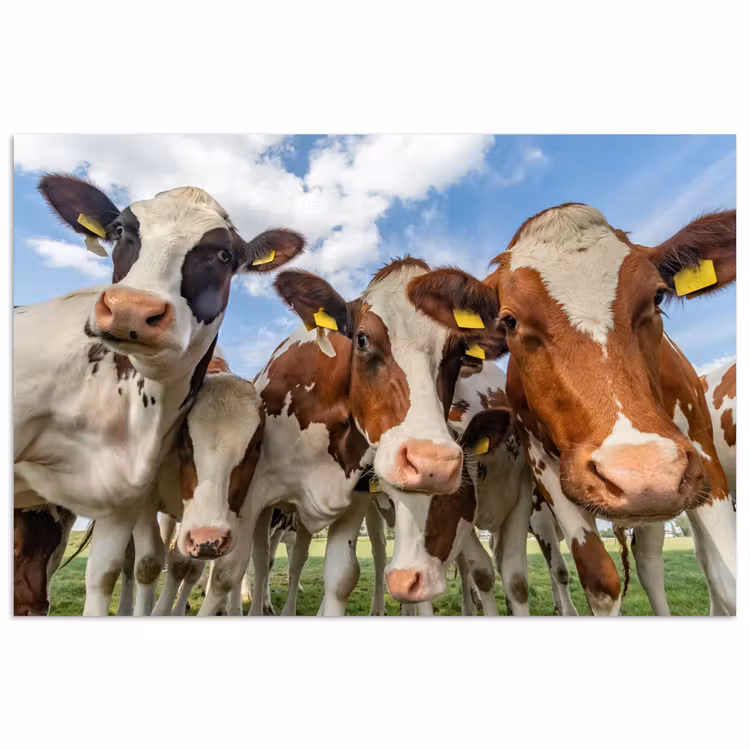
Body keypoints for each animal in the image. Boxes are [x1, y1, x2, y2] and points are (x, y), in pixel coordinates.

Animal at [14, 174, 303, 615]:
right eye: (119, 231)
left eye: (224, 254)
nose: (131, 308)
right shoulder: (143, 502)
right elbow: (147, 562)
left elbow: (190, 565)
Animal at [197, 257, 501, 615]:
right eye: (362, 339)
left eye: (458, 353)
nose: (433, 463)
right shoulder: (252, 493)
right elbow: (228, 571)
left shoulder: (354, 497)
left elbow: (342, 575)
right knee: (259, 560)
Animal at [408, 204, 737, 614]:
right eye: (509, 320)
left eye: (658, 297)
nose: (642, 473)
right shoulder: (545, 469)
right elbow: (599, 580)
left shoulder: (702, 453)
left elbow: (728, 579)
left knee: (653, 564)